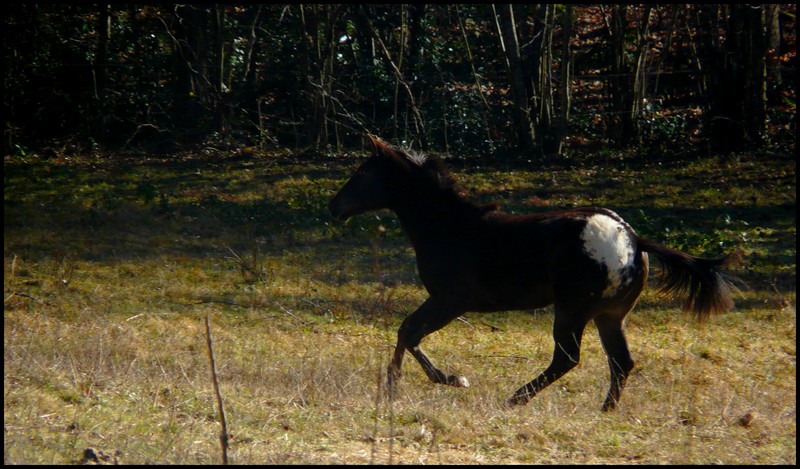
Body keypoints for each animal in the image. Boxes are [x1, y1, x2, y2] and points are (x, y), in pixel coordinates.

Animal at [328, 134, 736, 410]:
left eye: (361, 172)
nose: (334, 206)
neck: (449, 227)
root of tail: (634, 240)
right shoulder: (446, 302)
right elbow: (407, 332)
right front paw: (404, 384)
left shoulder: (450, 300)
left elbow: (408, 331)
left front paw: (437, 381)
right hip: (609, 314)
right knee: (621, 361)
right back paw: (605, 409)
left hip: (572, 309)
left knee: (567, 359)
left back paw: (515, 398)